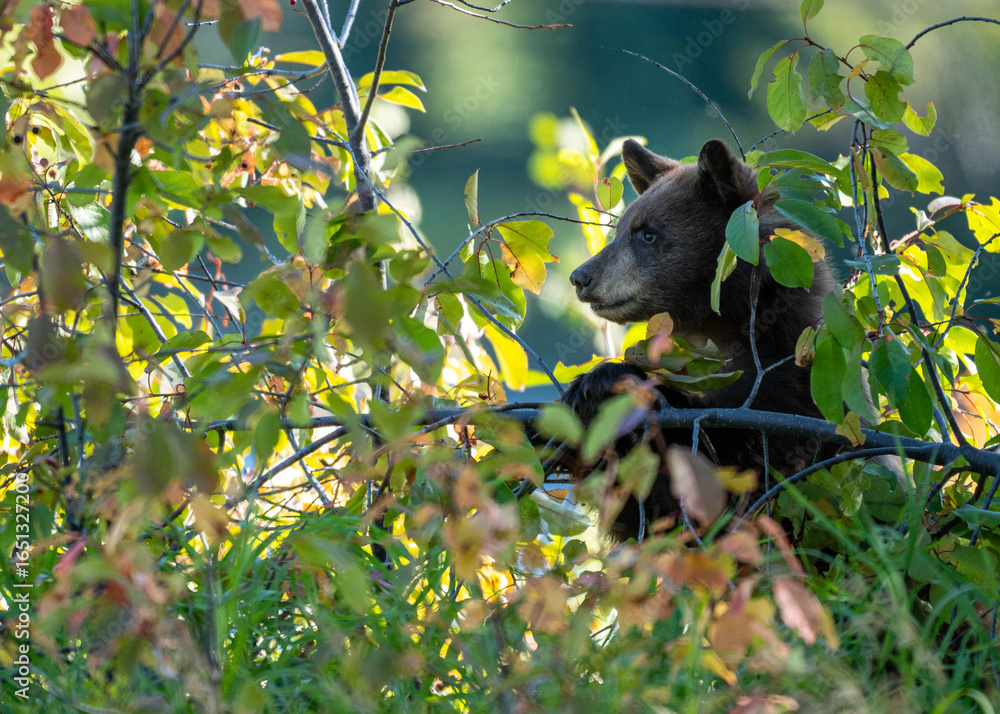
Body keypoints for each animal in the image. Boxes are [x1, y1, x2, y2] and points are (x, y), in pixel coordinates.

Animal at [562, 138, 835, 539]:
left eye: (648, 233)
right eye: (620, 229)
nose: (581, 277)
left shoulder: (790, 395)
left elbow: (731, 464)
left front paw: (605, 381)